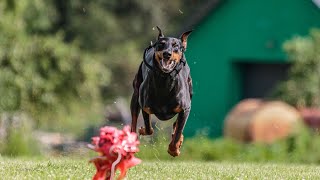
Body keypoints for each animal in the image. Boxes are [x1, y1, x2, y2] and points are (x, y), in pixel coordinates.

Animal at [131, 26, 192, 156]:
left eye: (175, 45)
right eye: (161, 44)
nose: (167, 54)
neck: (164, 81)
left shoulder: (185, 109)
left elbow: (179, 130)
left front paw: (174, 149)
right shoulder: (145, 107)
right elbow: (149, 129)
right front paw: (142, 130)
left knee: (176, 125)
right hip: (135, 95)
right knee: (133, 120)